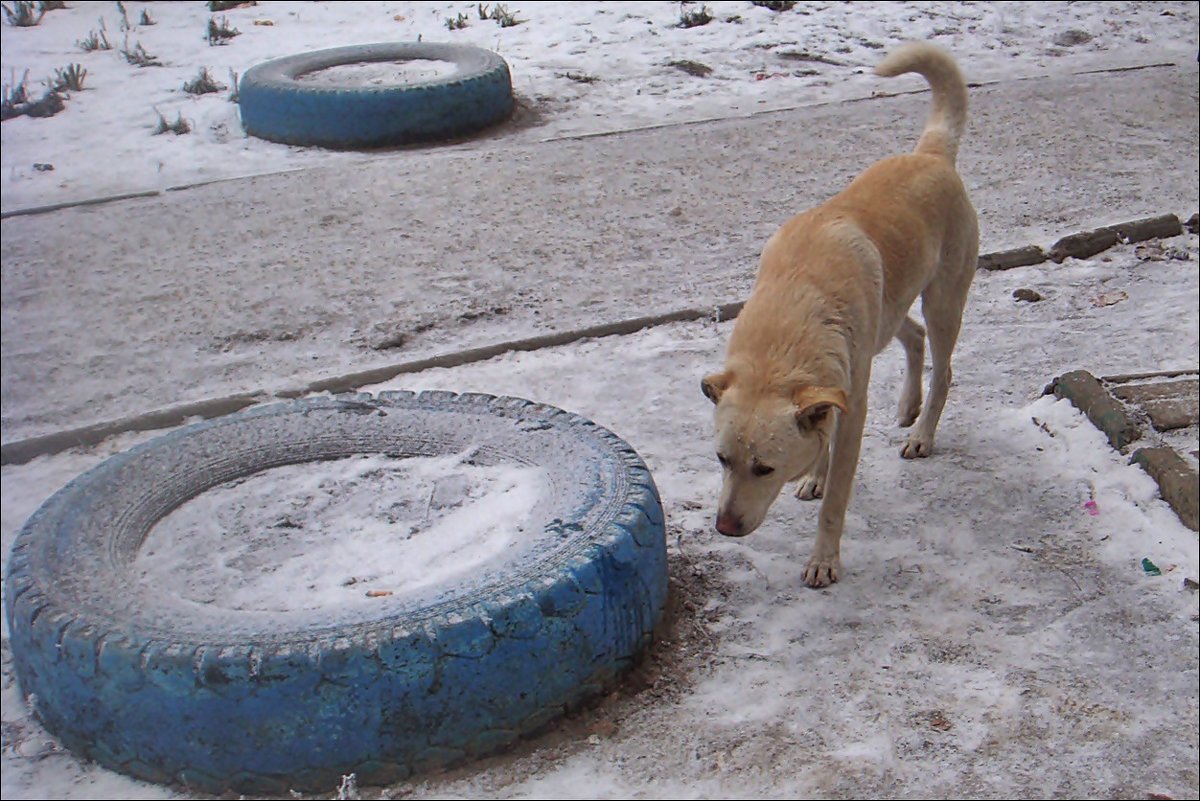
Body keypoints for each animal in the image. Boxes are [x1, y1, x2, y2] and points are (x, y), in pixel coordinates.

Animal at [700, 38, 974, 587]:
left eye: (764, 468)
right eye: (721, 459)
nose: (724, 527)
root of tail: (931, 154)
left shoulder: (853, 410)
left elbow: (837, 499)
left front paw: (824, 558)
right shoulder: (834, 384)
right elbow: (820, 434)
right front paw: (815, 474)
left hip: (943, 302)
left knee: (943, 369)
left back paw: (922, 432)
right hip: (889, 313)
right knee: (911, 336)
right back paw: (907, 406)